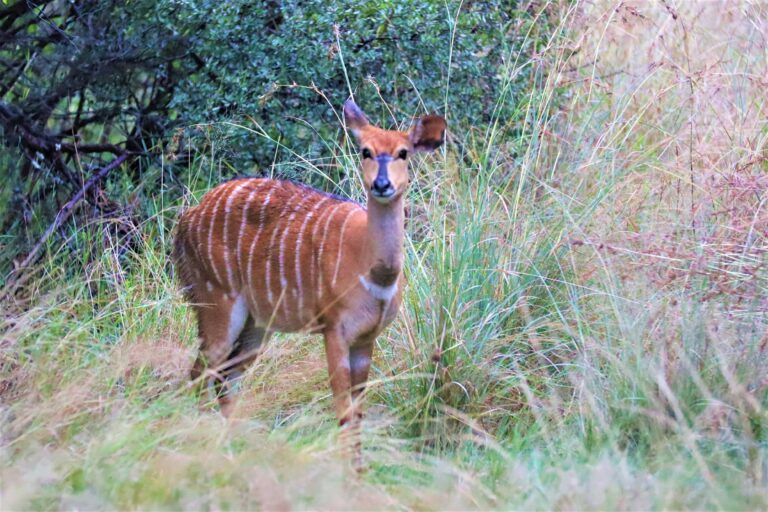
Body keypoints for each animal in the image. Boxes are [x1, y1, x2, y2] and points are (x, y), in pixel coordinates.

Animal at [170, 97, 440, 452]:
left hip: (257, 325)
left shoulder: (367, 337)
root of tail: (186, 219)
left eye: (403, 152)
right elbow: (344, 414)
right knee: (202, 374)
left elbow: (358, 413)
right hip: (216, 303)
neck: (373, 270)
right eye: (365, 151)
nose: (381, 184)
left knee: (227, 378)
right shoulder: (334, 329)